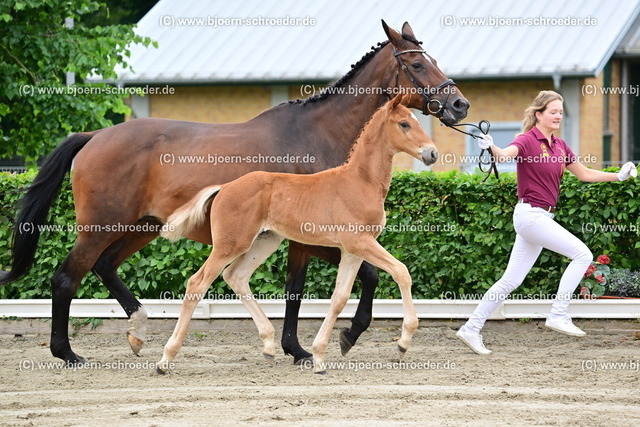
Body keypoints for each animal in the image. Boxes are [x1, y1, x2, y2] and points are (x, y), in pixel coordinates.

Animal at [157, 93, 435, 374]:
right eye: (404, 124)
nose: (432, 153)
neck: (360, 181)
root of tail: (224, 187)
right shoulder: (359, 242)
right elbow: (401, 271)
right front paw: (403, 342)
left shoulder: (352, 251)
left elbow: (340, 297)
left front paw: (320, 356)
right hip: (230, 244)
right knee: (197, 283)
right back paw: (165, 359)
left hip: (265, 241)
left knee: (236, 276)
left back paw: (269, 345)